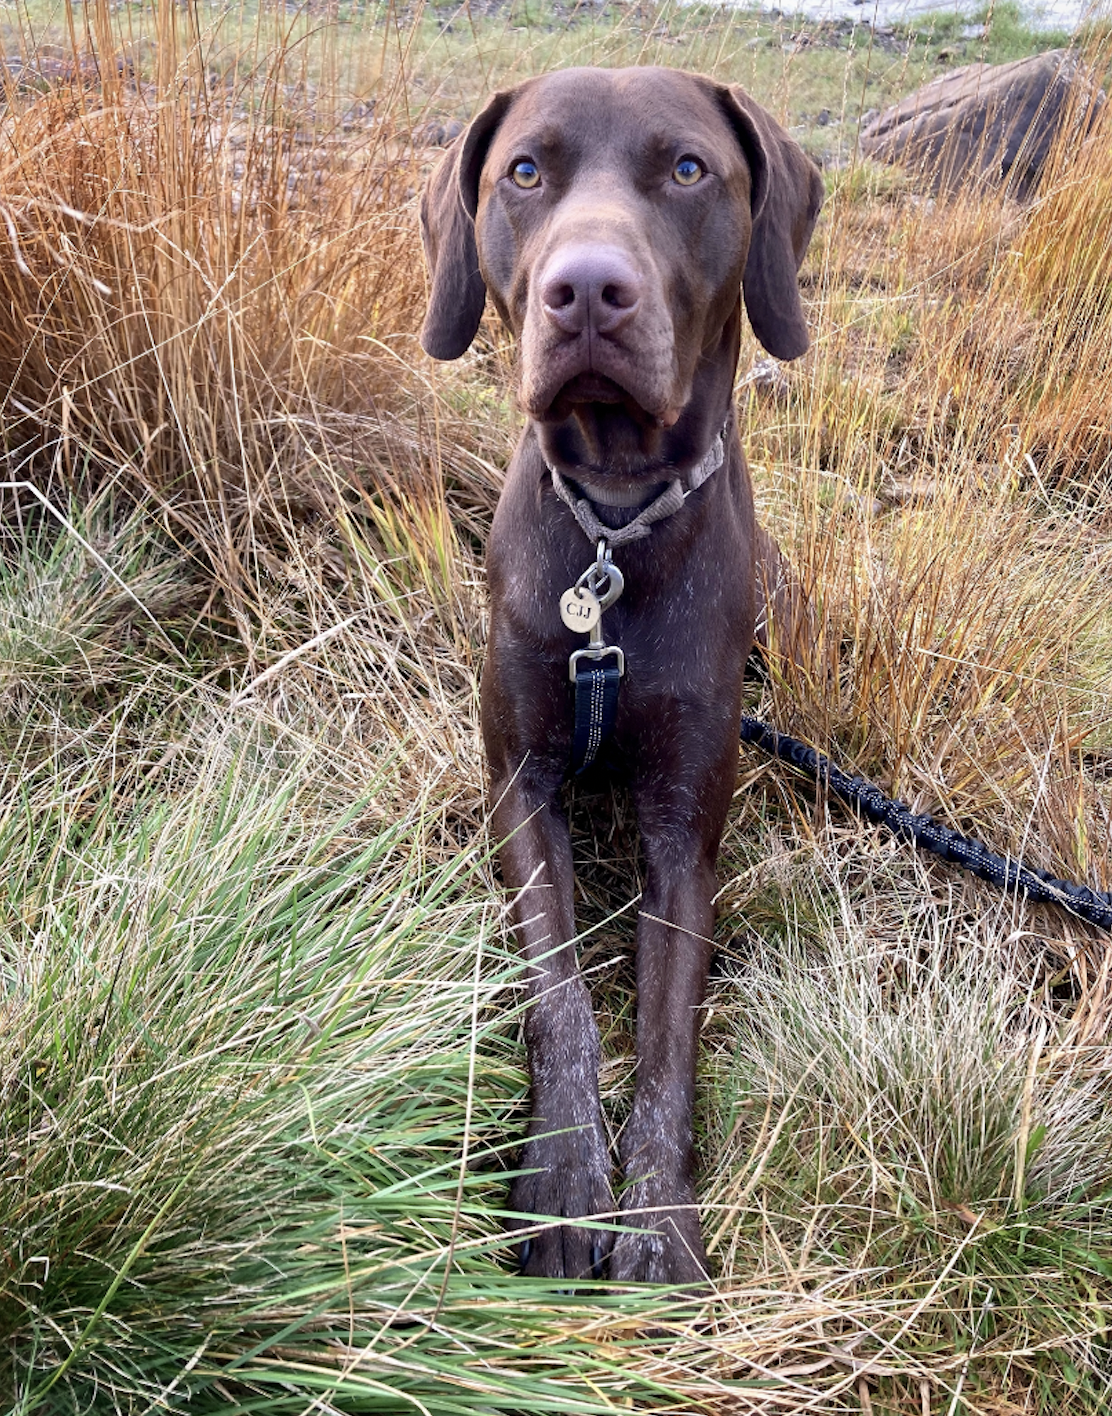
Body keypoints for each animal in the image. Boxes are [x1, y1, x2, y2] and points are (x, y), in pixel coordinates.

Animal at [419, 66, 822, 1285]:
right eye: (524, 170)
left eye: (687, 169)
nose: (587, 290)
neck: (614, 523)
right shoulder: (518, 788)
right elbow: (560, 995)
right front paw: (561, 1178)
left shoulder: (682, 831)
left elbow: (663, 1036)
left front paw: (652, 1217)